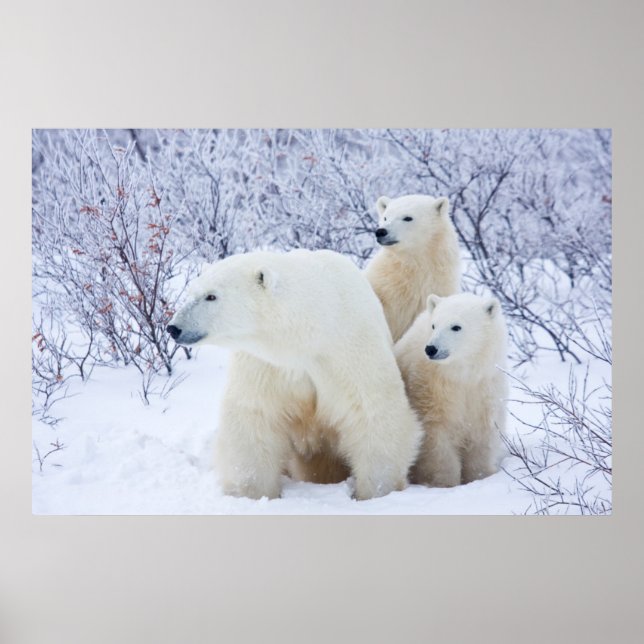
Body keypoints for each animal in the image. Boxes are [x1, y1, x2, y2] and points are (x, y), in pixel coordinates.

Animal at [167, 249, 423, 501]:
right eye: (191, 291)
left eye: (211, 296)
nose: (173, 327)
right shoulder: (266, 365)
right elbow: (254, 417)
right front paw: (252, 493)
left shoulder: (348, 352)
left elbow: (373, 414)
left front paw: (377, 492)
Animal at [394, 292, 508, 487]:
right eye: (434, 325)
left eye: (456, 327)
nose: (431, 349)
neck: (459, 374)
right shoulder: (430, 390)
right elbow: (437, 440)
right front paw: (446, 483)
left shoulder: (484, 389)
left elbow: (481, 435)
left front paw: (481, 476)